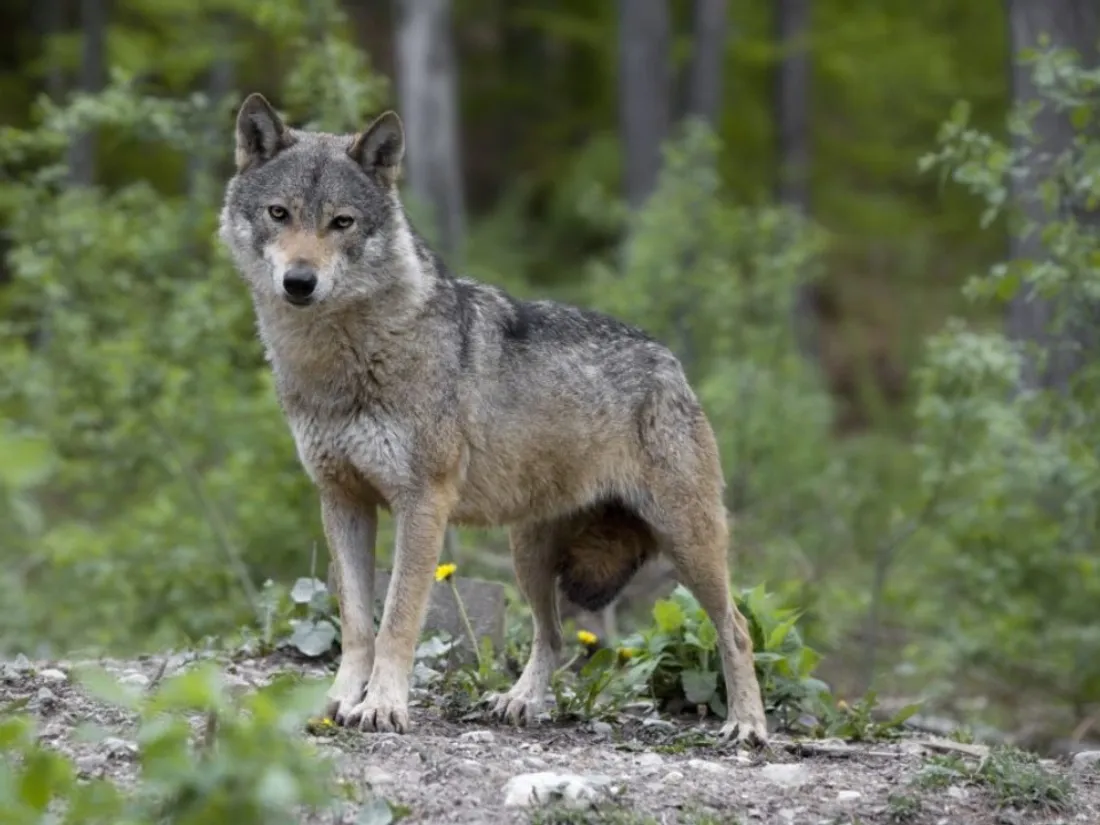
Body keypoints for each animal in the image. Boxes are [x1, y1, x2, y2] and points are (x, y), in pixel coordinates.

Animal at [218, 93, 769, 746]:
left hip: (687, 542)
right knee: (552, 637)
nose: (299, 282)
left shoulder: (422, 504)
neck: (340, 364)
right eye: (279, 214)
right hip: (528, 555)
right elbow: (355, 623)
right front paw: (336, 702)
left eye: (342, 222)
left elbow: (397, 619)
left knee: (736, 627)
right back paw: (520, 702)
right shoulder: (342, 500)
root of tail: (670, 361)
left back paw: (747, 725)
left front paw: (382, 707)